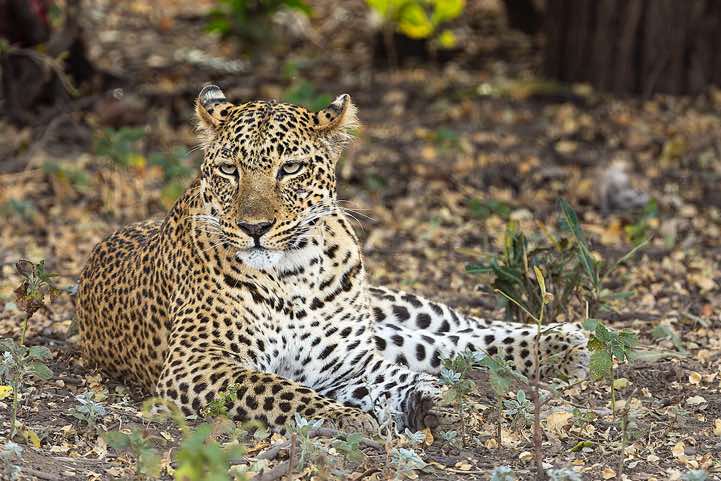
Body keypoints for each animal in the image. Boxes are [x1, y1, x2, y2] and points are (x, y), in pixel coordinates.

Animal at [75, 85, 589, 434]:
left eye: (290, 169)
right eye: (228, 170)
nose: (254, 227)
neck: (292, 274)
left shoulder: (349, 361)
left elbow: (391, 375)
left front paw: (419, 401)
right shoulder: (197, 363)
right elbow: (281, 391)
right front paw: (352, 420)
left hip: (391, 307)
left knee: (460, 327)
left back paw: (566, 339)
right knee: (443, 344)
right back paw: (565, 345)